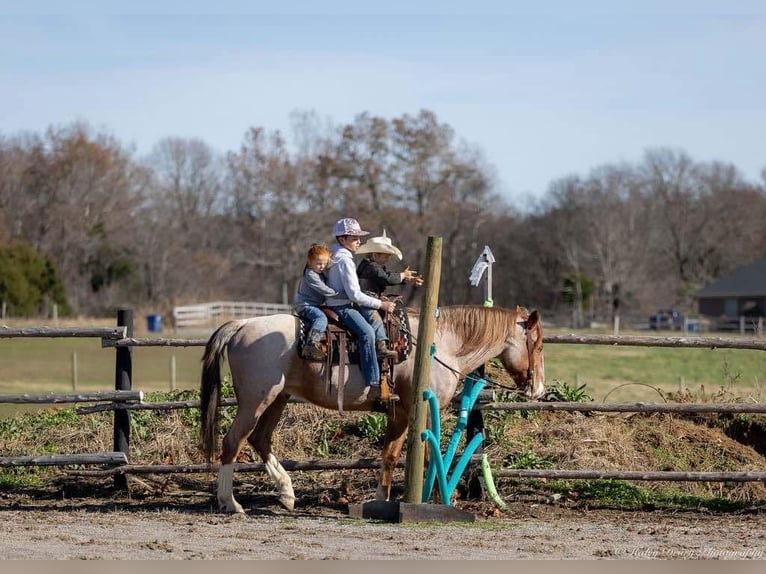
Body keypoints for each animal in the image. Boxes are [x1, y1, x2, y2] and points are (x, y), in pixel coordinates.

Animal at [198, 304, 544, 516]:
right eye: (538, 345)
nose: (539, 389)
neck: (442, 345)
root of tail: (243, 323)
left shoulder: (398, 414)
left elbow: (391, 454)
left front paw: (382, 500)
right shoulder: (408, 411)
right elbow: (410, 455)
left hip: (278, 399)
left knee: (260, 439)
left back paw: (286, 494)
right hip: (256, 401)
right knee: (233, 442)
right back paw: (230, 503)